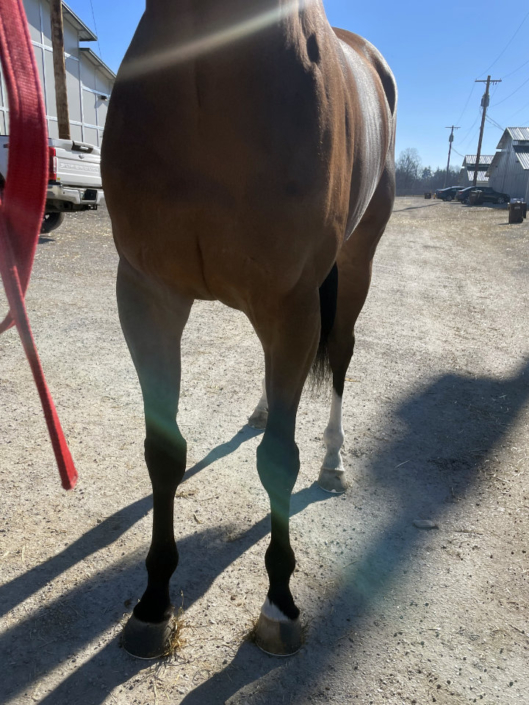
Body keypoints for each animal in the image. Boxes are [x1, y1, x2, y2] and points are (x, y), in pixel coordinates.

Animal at [101, 0, 397, 658]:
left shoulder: (292, 307)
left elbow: (279, 462)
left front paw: (280, 605)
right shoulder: (146, 296)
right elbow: (164, 451)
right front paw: (153, 603)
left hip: (353, 265)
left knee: (341, 356)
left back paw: (334, 463)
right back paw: (263, 410)